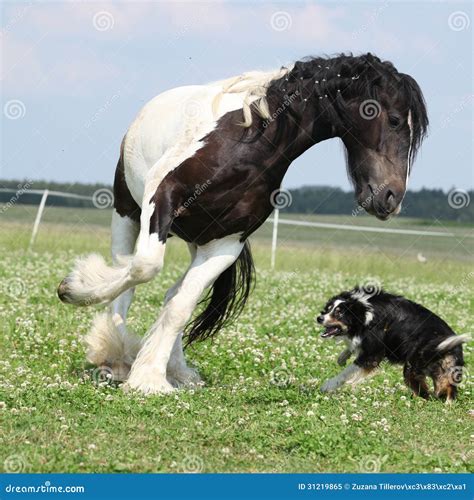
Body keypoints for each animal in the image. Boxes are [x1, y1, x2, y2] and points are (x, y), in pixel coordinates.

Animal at [56, 51, 430, 394]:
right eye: (395, 120)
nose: (391, 198)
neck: (247, 144)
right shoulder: (161, 200)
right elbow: (144, 267)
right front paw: (73, 288)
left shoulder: (225, 243)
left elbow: (181, 305)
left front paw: (151, 378)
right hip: (127, 211)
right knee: (127, 278)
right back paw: (115, 353)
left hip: (196, 240)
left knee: (173, 293)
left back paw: (176, 369)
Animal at [316, 288, 468, 400]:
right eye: (328, 309)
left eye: (339, 313)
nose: (319, 318)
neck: (363, 311)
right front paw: (343, 357)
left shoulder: (373, 352)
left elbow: (348, 371)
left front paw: (328, 385)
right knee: (444, 387)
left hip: (413, 365)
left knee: (427, 391)